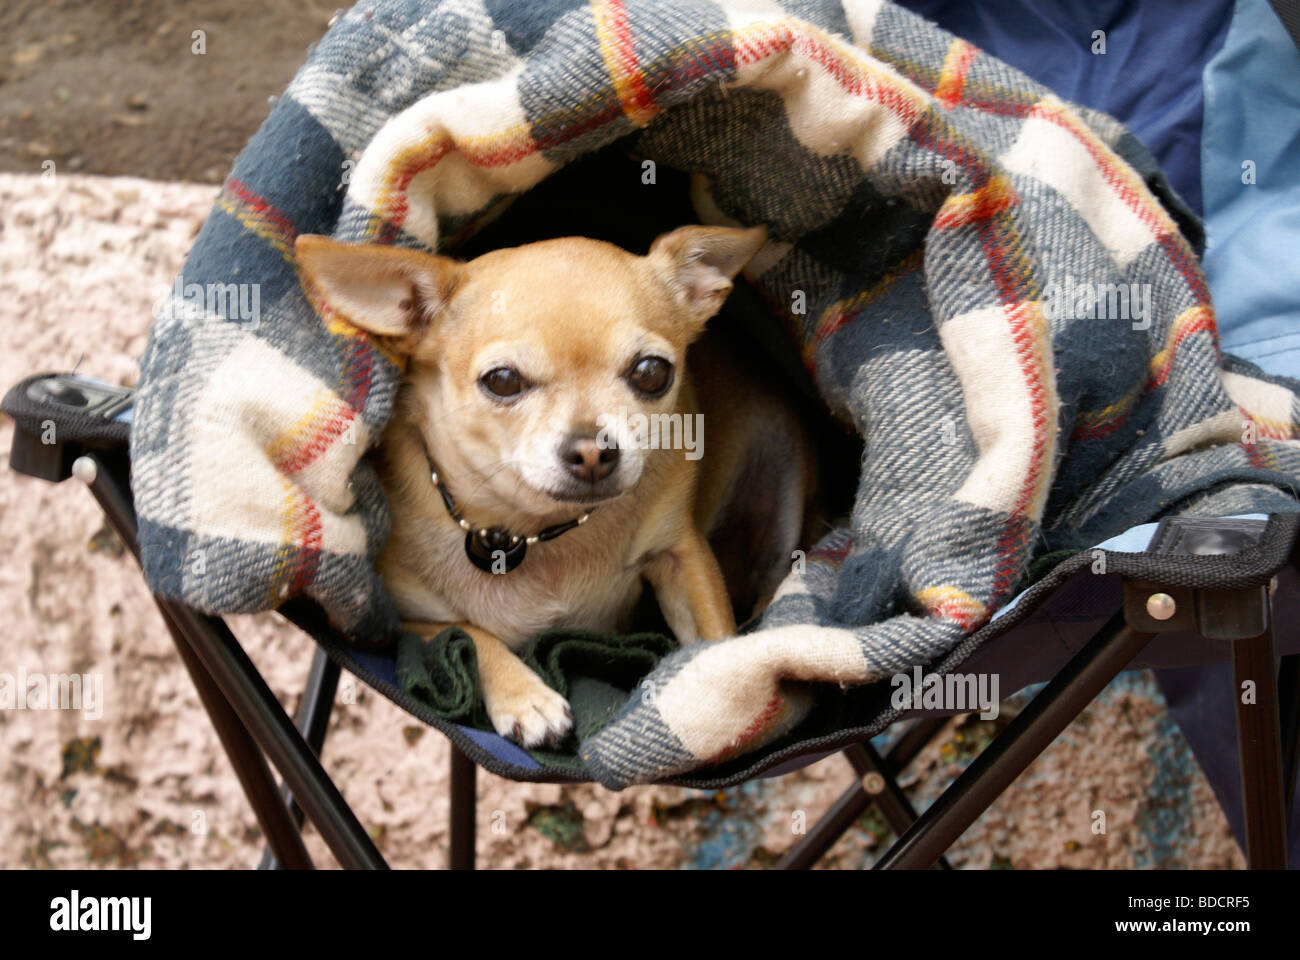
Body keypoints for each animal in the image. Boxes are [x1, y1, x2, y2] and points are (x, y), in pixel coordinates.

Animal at [299, 226, 816, 749]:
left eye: (652, 372)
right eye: (503, 380)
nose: (592, 450)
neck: (531, 531)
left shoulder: (680, 555)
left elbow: (715, 632)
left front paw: (728, 687)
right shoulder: (393, 627)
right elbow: (467, 634)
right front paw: (525, 697)